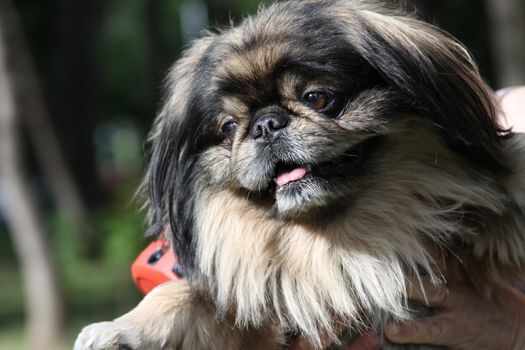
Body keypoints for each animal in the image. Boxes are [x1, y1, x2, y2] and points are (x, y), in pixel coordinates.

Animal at [73, 0, 524, 348]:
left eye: (318, 98)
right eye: (228, 127)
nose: (266, 124)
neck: (334, 239)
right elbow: (182, 292)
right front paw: (119, 331)